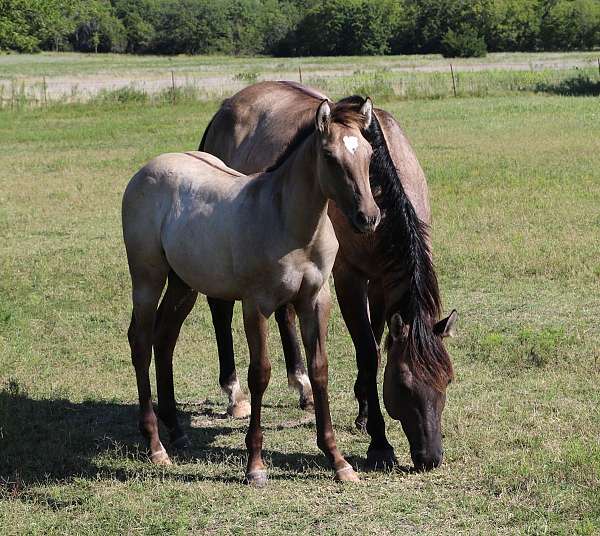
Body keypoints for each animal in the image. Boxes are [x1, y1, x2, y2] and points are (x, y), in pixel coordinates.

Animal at [123, 97, 380, 486]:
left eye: (368, 153)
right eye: (330, 156)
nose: (369, 217)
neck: (289, 224)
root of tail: (144, 171)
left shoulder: (315, 300)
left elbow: (319, 370)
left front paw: (338, 461)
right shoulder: (256, 305)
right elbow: (260, 374)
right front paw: (255, 465)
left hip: (183, 283)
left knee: (164, 338)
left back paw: (177, 431)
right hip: (147, 279)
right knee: (140, 341)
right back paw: (155, 445)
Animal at [199, 81, 458, 472]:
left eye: (447, 380)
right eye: (403, 384)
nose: (430, 457)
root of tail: (226, 107)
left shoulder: (379, 281)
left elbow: (374, 342)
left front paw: (364, 412)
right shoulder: (347, 279)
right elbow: (368, 352)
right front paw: (379, 441)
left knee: (285, 314)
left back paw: (303, 386)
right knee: (220, 310)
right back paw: (234, 394)